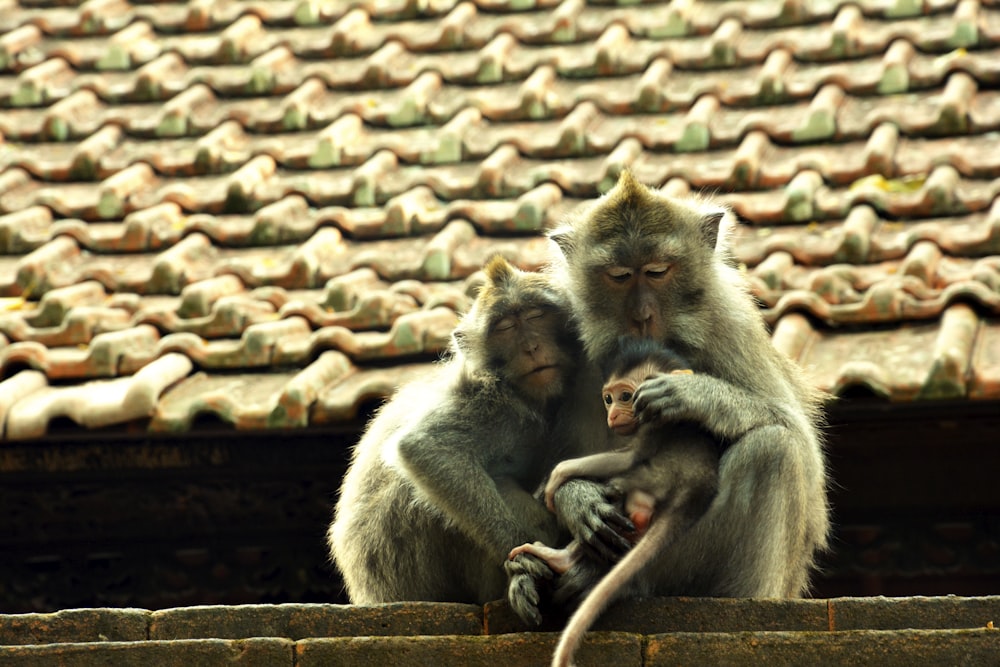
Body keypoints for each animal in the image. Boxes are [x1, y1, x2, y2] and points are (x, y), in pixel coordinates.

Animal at [328, 258, 580, 612]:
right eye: (505, 327)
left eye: (535, 316)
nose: (531, 347)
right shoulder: (486, 400)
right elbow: (424, 448)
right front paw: (521, 557)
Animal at [508, 170, 828, 624]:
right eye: (620, 276)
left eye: (657, 271)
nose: (642, 315)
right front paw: (577, 499)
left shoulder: (729, 324)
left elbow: (800, 445)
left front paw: (694, 395)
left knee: (773, 449)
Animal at [508, 340, 720, 667]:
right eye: (608, 399)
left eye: (626, 396)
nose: (612, 415)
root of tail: (694, 494)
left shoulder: (655, 421)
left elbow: (629, 457)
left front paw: (557, 476)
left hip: (656, 477)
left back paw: (559, 558)